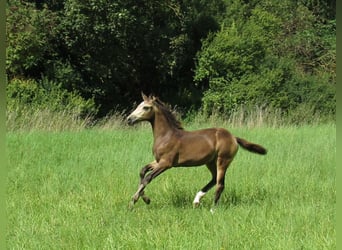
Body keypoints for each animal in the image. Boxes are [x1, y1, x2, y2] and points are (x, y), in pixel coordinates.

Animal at [126, 93, 268, 208]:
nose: (129, 119)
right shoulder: (158, 161)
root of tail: (233, 137)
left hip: (223, 160)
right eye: (138, 105)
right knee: (214, 179)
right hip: (210, 162)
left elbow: (148, 178)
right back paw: (196, 200)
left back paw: (212, 209)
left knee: (220, 184)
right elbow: (142, 171)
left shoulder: (167, 163)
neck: (166, 136)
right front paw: (146, 199)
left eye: (146, 107)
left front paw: (133, 201)